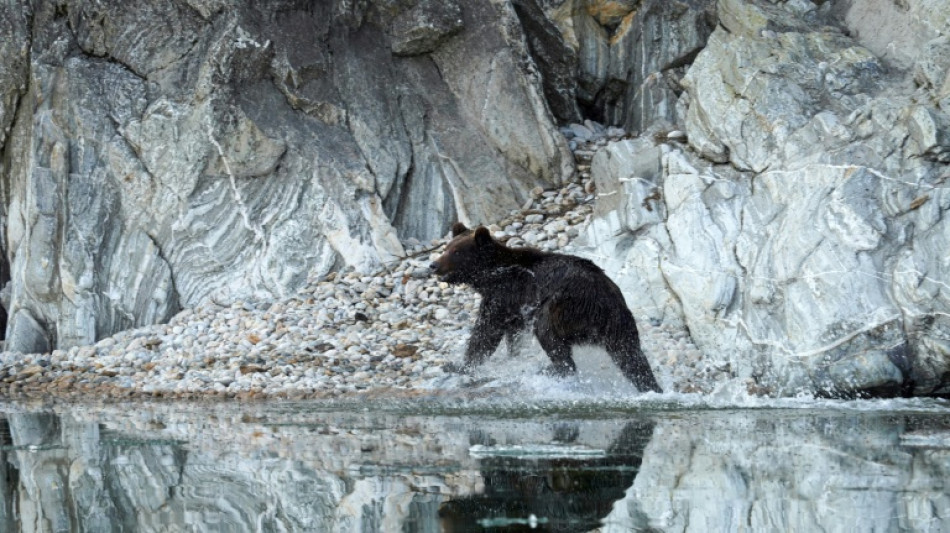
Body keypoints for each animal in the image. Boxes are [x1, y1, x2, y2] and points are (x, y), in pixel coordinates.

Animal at [430, 222, 662, 393]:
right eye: (446, 248)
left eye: (456, 251)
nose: (433, 265)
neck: (490, 276)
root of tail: (607, 303)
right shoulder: (515, 310)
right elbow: (512, 335)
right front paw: (512, 355)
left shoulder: (505, 295)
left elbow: (486, 331)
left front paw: (458, 365)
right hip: (620, 325)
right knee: (630, 356)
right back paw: (650, 385)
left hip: (564, 307)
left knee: (548, 333)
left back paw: (551, 369)